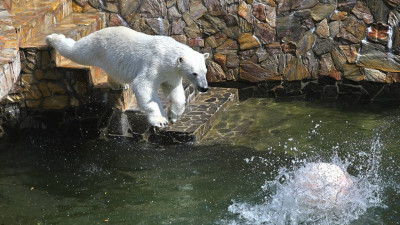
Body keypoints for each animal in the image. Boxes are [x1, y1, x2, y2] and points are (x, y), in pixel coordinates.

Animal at [45, 25, 209, 128]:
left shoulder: (171, 73)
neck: (167, 53)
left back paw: (119, 84)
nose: (204, 88)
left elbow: (174, 91)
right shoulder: (155, 64)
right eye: (194, 73)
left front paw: (173, 115)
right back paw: (52, 38)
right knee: (77, 51)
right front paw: (161, 120)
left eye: (205, 71)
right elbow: (143, 86)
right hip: (97, 46)